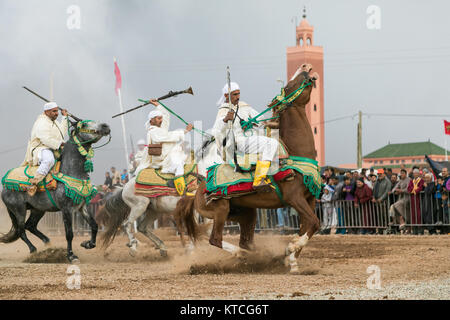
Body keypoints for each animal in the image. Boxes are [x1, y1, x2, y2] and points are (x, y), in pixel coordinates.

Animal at [0, 119, 110, 262]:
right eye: (85, 124)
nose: (106, 126)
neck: (71, 171)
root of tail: (4, 185)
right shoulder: (66, 209)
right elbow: (69, 234)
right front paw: (71, 255)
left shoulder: (82, 207)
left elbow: (94, 226)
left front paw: (87, 244)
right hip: (19, 209)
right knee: (21, 230)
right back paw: (33, 250)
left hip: (38, 209)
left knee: (30, 226)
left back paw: (48, 245)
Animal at [175, 64, 320, 272]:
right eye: (288, 86)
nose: (306, 68)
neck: (296, 153)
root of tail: (196, 193)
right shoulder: (295, 198)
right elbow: (314, 223)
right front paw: (290, 250)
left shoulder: (310, 199)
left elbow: (309, 226)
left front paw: (291, 259)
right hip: (220, 209)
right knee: (215, 239)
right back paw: (242, 254)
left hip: (246, 213)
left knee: (245, 241)